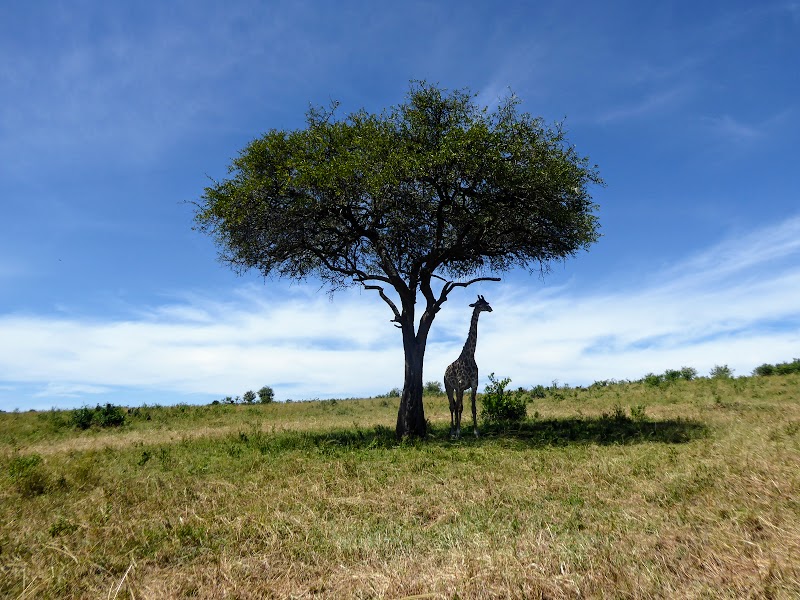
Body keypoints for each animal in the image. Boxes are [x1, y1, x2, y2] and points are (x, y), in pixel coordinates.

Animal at [444, 294, 494, 438]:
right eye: (480, 304)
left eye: (486, 302)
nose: (490, 308)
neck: (470, 356)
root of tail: (444, 371)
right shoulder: (461, 385)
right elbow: (460, 407)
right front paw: (458, 432)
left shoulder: (473, 384)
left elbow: (473, 407)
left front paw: (476, 432)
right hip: (448, 386)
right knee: (452, 406)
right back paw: (452, 432)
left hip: (456, 388)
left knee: (456, 406)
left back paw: (455, 430)